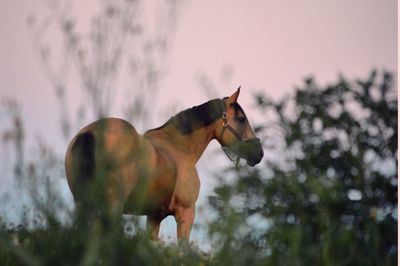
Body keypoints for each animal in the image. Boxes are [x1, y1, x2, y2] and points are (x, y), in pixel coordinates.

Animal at [64, 87, 264, 243]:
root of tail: (89, 133)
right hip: (112, 206)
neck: (179, 146)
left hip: (81, 203)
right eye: (241, 118)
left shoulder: (154, 217)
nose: (259, 152)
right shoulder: (186, 214)